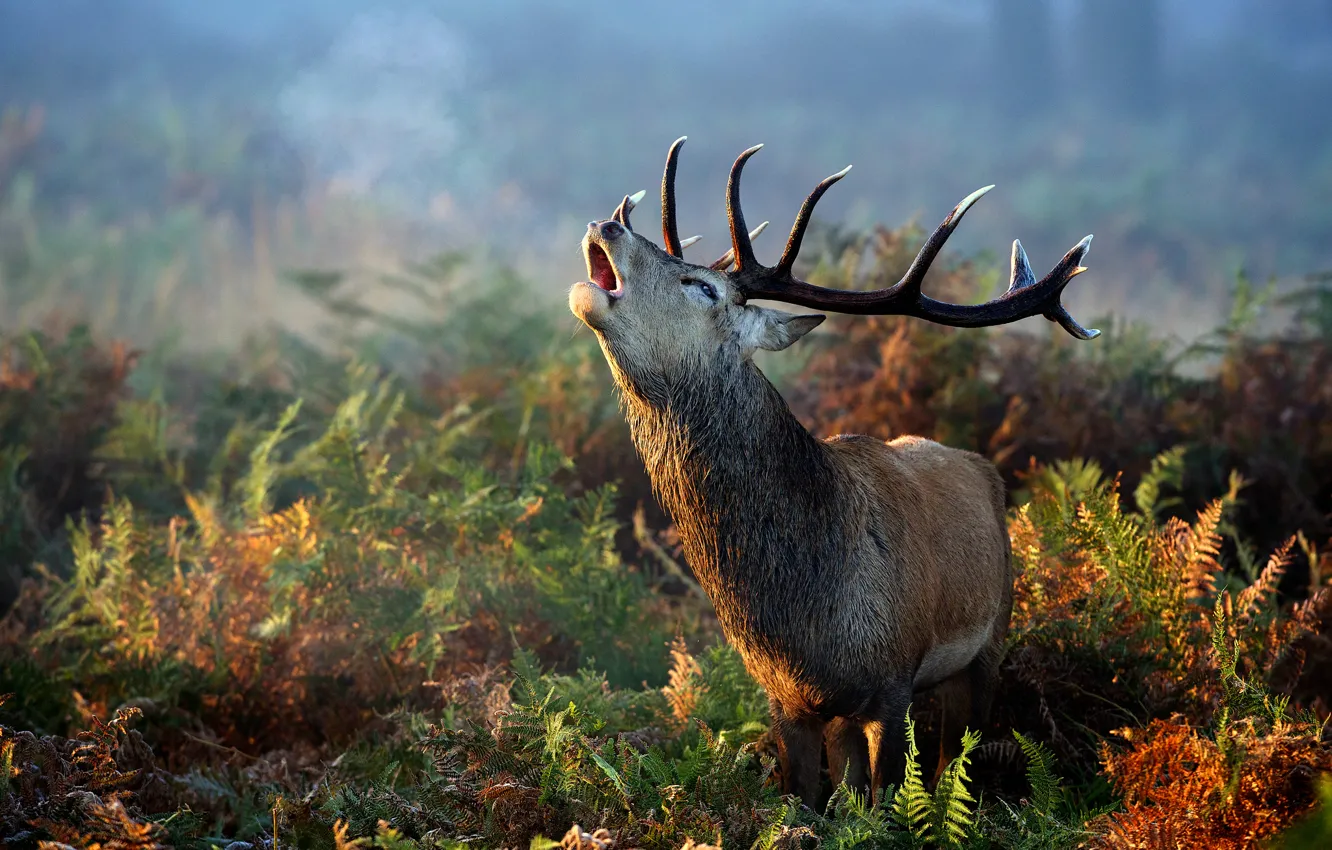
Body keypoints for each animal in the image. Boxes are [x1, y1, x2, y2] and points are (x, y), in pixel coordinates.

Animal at [567, 137, 1100, 809]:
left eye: (702, 287)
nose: (606, 223)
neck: (807, 616)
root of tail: (983, 468)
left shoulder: (894, 682)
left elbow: (892, 799)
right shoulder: (786, 701)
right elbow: (808, 800)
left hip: (991, 641)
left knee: (955, 761)